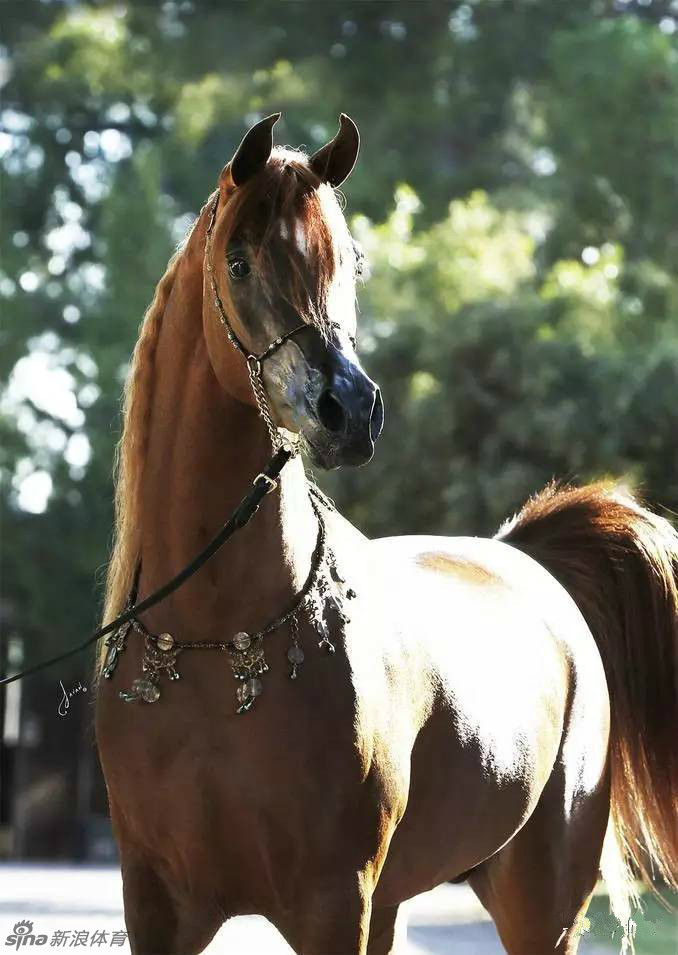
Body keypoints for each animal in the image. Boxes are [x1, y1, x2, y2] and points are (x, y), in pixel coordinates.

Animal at [94, 113, 678, 955]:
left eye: (351, 264)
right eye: (238, 261)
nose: (349, 409)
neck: (214, 637)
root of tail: (528, 559)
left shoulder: (336, 900)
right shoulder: (156, 906)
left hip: (542, 901)